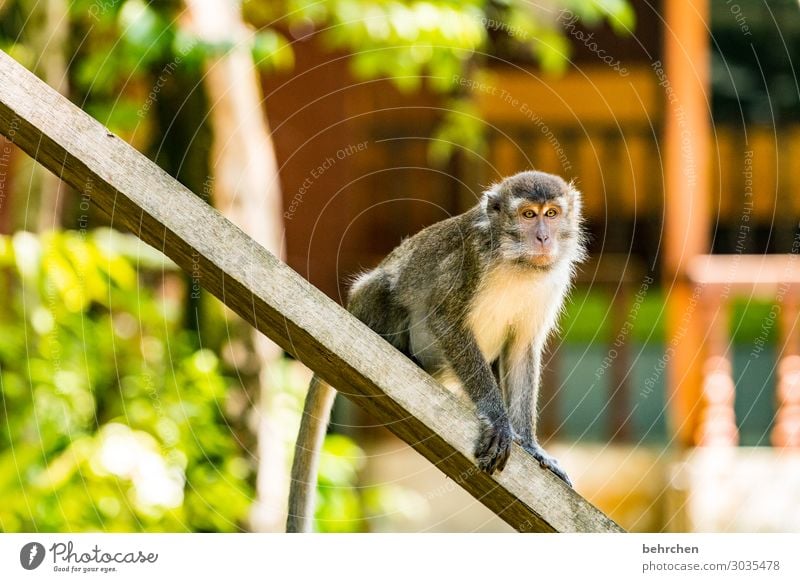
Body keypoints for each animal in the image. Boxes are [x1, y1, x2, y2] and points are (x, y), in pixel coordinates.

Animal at [286, 170, 580, 532]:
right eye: (528, 215)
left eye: (551, 213)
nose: (542, 237)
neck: (516, 261)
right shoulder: (469, 261)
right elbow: (446, 320)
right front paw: (498, 419)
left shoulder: (550, 284)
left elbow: (521, 350)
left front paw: (531, 445)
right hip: (370, 305)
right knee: (387, 287)